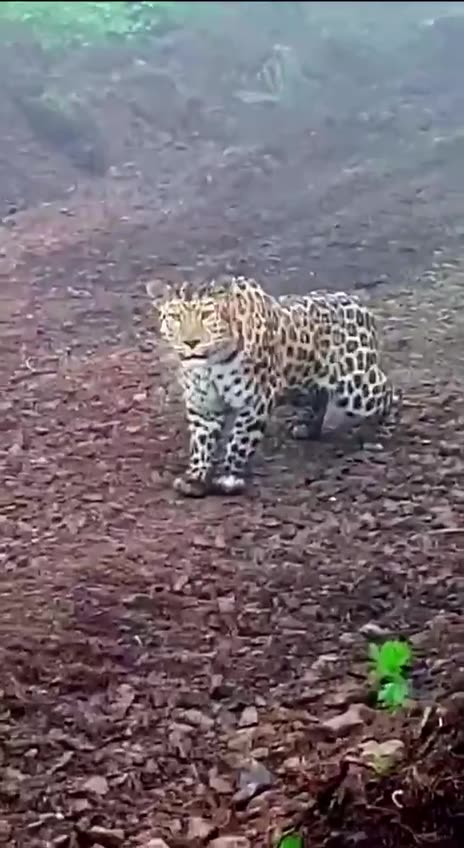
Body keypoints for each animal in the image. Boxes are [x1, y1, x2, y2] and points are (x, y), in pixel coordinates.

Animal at [146, 275, 400, 497]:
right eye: (175, 316)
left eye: (207, 315)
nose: (191, 342)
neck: (209, 364)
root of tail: (359, 304)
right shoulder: (203, 406)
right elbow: (201, 443)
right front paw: (196, 477)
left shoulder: (256, 399)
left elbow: (240, 439)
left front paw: (229, 478)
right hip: (301, 382)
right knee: (320, 396)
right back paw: (307, 427)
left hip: (357, 386)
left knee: (390, 392)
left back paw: (383, 430)